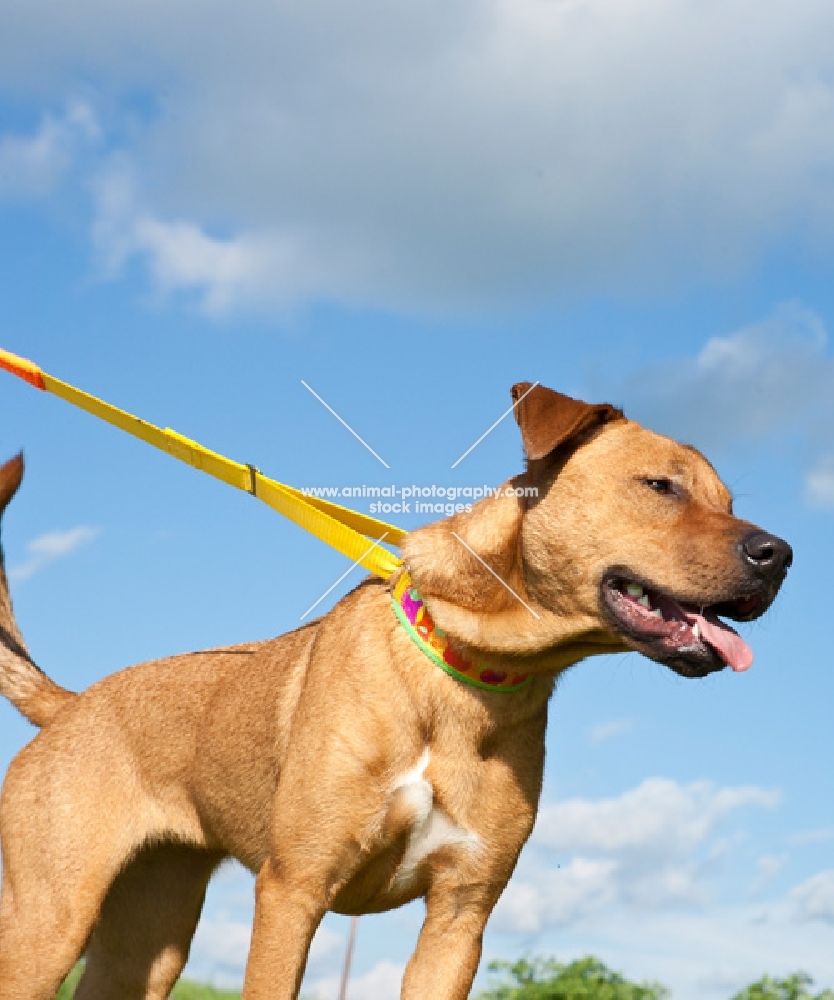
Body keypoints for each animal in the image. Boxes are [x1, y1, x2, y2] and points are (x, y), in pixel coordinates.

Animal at [0, 384, 792, 1000]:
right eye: (660, 486)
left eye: (729, 500)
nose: (779, 554)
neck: (465, 674)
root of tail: (73, 704)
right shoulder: (294, 890)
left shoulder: (460, 914)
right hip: (48, 923)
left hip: (146, 941)